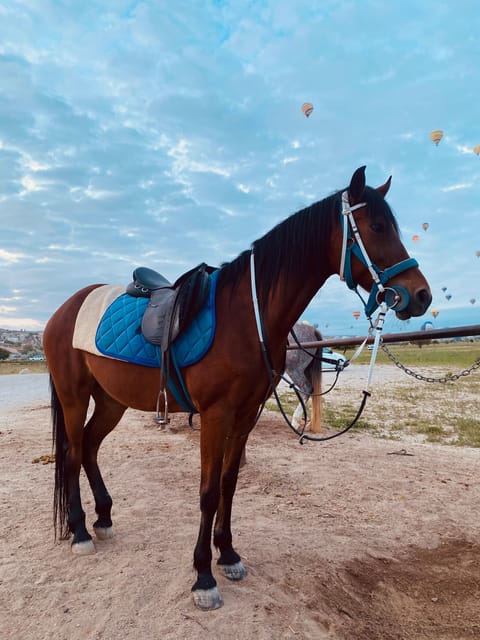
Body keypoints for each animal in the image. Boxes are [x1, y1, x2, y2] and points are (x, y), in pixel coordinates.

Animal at [42, 165, 432, 608]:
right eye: (378, 226)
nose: (421, 295)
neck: (248, 316)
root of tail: (65, 309)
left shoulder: (246, 414)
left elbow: (229, 483)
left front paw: (227, 554)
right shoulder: (215, 416)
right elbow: (209, 491)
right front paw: (203, 576)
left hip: (111, 401)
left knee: (89, 448)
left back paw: (104, 518)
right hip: (74, 397)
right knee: (72, 454)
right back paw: (80, 531)